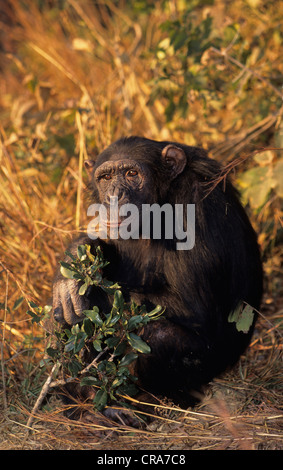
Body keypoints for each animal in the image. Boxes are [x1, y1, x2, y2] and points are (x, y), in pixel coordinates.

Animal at [52, 137, 264, 414]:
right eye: (106, 177)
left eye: (131, 174)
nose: (113, 195)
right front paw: (72, 265)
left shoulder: (194, 205)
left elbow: (193, 307)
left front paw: (82, 288)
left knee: (158, 334)